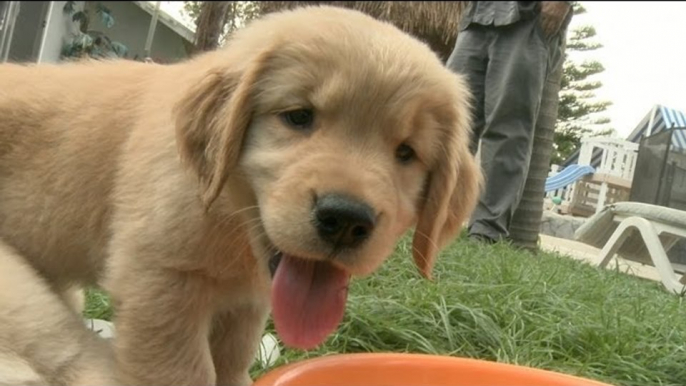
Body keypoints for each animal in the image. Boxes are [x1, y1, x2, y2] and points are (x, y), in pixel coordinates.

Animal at [0, 4, 484, 384]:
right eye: (298, 116)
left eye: (406, 152)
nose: (346, 220)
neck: (229, 218)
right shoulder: (159, 281)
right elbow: (182, 372)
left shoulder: (246, 304)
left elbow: (231, 363)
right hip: (26, 298)